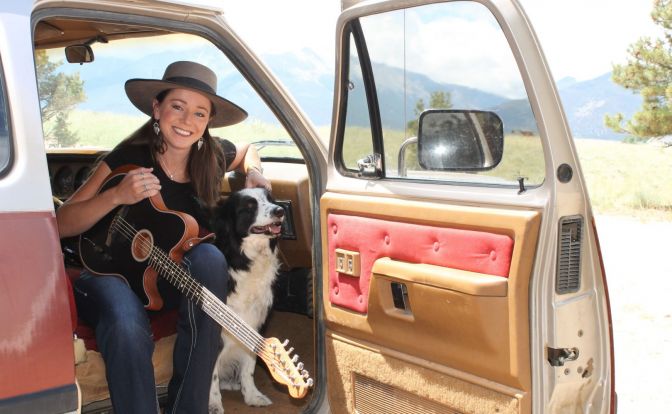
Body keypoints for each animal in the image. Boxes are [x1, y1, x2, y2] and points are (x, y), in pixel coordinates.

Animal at [207, 187, 285, 413]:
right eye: (249, 207)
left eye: (270, 199)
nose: (280, 210)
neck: (246, 260)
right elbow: (211, 375)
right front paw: (214, 404)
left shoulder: (255, 324)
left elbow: (249, 366)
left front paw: (252, 396)